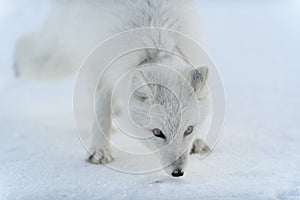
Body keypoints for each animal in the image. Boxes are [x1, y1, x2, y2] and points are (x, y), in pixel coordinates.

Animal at [13, 0, 211, 178]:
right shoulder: (100, 68)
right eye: (157, 133)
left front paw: (196, 143)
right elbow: (101, 114)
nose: (178, 172)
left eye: (189, 130)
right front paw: (98, 151)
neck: (155, 38)